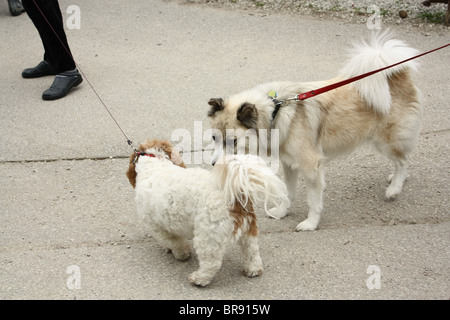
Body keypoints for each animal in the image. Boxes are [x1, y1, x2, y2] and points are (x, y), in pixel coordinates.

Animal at [207, 32, 422, 231]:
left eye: (233, 141)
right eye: (214, 137)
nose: (214, 164)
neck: (276, 111)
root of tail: (395, 75)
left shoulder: (311, 166)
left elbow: (313, 201)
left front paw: (311, 223)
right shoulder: (289, 164)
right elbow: (288, 192)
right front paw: (282, 211)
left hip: (385, 142)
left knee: (403, 160)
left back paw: (394, 188)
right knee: (402, 160)